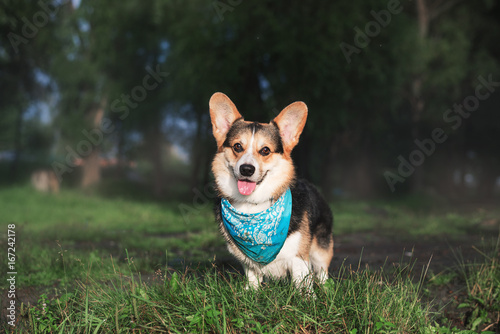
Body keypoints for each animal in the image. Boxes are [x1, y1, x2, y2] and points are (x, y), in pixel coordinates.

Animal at [209, 92, 334, 290]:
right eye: (237, 146)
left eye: (265, 150)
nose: (246, 169)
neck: (253, 205)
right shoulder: (248, 262)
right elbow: (252, 280)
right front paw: (251, 292)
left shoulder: (299, 258)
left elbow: (303, 286)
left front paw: (307, 297)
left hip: (321, 249)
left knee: (322, 272)